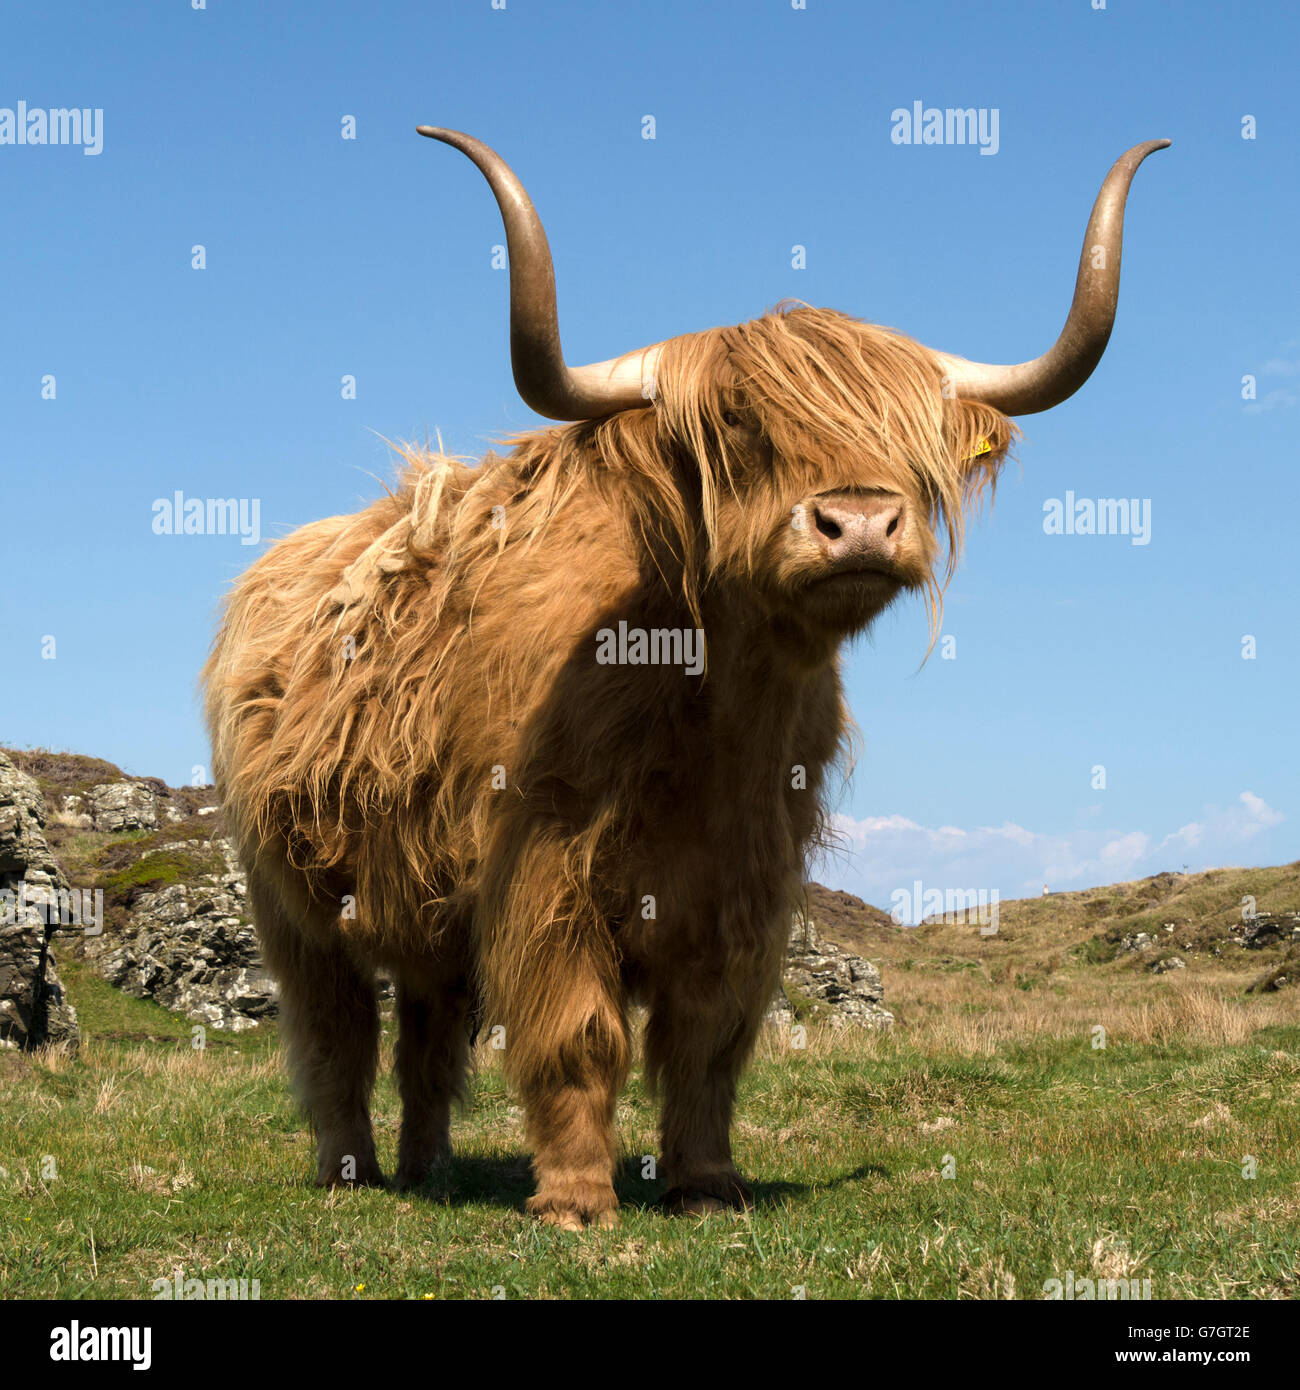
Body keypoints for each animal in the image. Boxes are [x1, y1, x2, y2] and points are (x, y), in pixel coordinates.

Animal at [202, 122, 1167, 1228]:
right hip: (292, 903)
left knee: (428, 1036)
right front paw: (575, 1201)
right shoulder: (544, 867)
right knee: (335, 1035)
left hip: (425, 909)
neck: (713, 708)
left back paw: (429, 1167)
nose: (859, 523)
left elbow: (709, 1040)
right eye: (741, 426)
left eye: (912, 434)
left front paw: (706, 1185)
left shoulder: (749, 881)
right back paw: (348, 1171)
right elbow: (579, 1034)